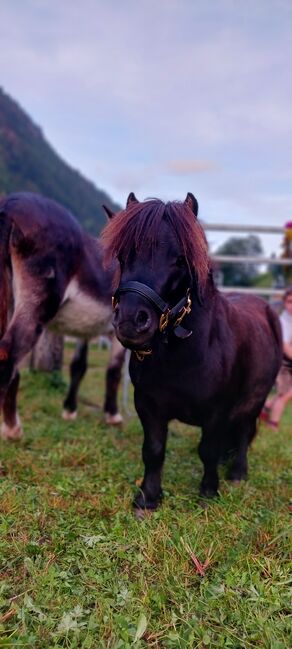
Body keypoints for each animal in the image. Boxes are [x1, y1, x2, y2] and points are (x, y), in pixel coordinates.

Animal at [0, 190, 124, 438]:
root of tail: (12, 202)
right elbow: (114, 371)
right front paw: (113, 415)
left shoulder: (86, 330)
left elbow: (78, 367)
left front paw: (69, 410)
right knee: (9, 353)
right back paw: (12, 429)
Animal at [101, 190, 282, 508]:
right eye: (123, 256)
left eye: (180, 259)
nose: (131, 322)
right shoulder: (147, 405)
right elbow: (153, 449)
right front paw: (147, 498)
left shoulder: (217, 412)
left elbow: (207, 450)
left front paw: (209, 492)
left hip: (256, 399)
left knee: (245, 429)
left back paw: (237, 472)